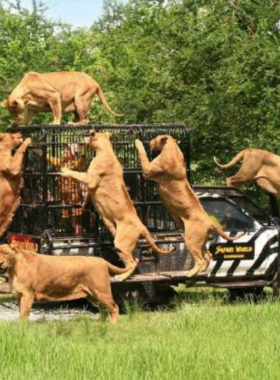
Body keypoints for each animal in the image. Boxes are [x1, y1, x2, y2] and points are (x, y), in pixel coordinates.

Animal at [0, 243, 129, 324]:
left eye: (6, 253)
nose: (0, 262)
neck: (13, 269)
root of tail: (103, 260)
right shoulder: (19, 296)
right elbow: (20, 311)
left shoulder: (28, 294)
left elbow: (24, 313)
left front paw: (22, 328)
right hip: (93, 295)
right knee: (103, 309)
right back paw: (100, 324)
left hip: (101, 292)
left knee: (114, 307)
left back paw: (111, 325)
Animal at [60, 131, 175, 282]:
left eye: (88, 135)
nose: (80, 141)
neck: (106, 150)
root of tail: (142, 226)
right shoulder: (91, 186)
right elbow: (87, 196)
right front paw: (84, 205)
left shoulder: (90, 179)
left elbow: (77, 174)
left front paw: (65, 170)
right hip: (124, 245)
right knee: (135, 260)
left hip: (121, 244)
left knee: (132, 263)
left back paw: (120, 277)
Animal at [136, 136, 245, 276]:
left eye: (155, 138)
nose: (150, 142)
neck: (173, 148)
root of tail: (210, 223)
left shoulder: (148, 170)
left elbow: (143, 154)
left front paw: (138, 142)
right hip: (201, 242)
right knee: (208, 256)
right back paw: (201, 271)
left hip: (191, 240)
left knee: (200, 260)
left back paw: (190, 273)